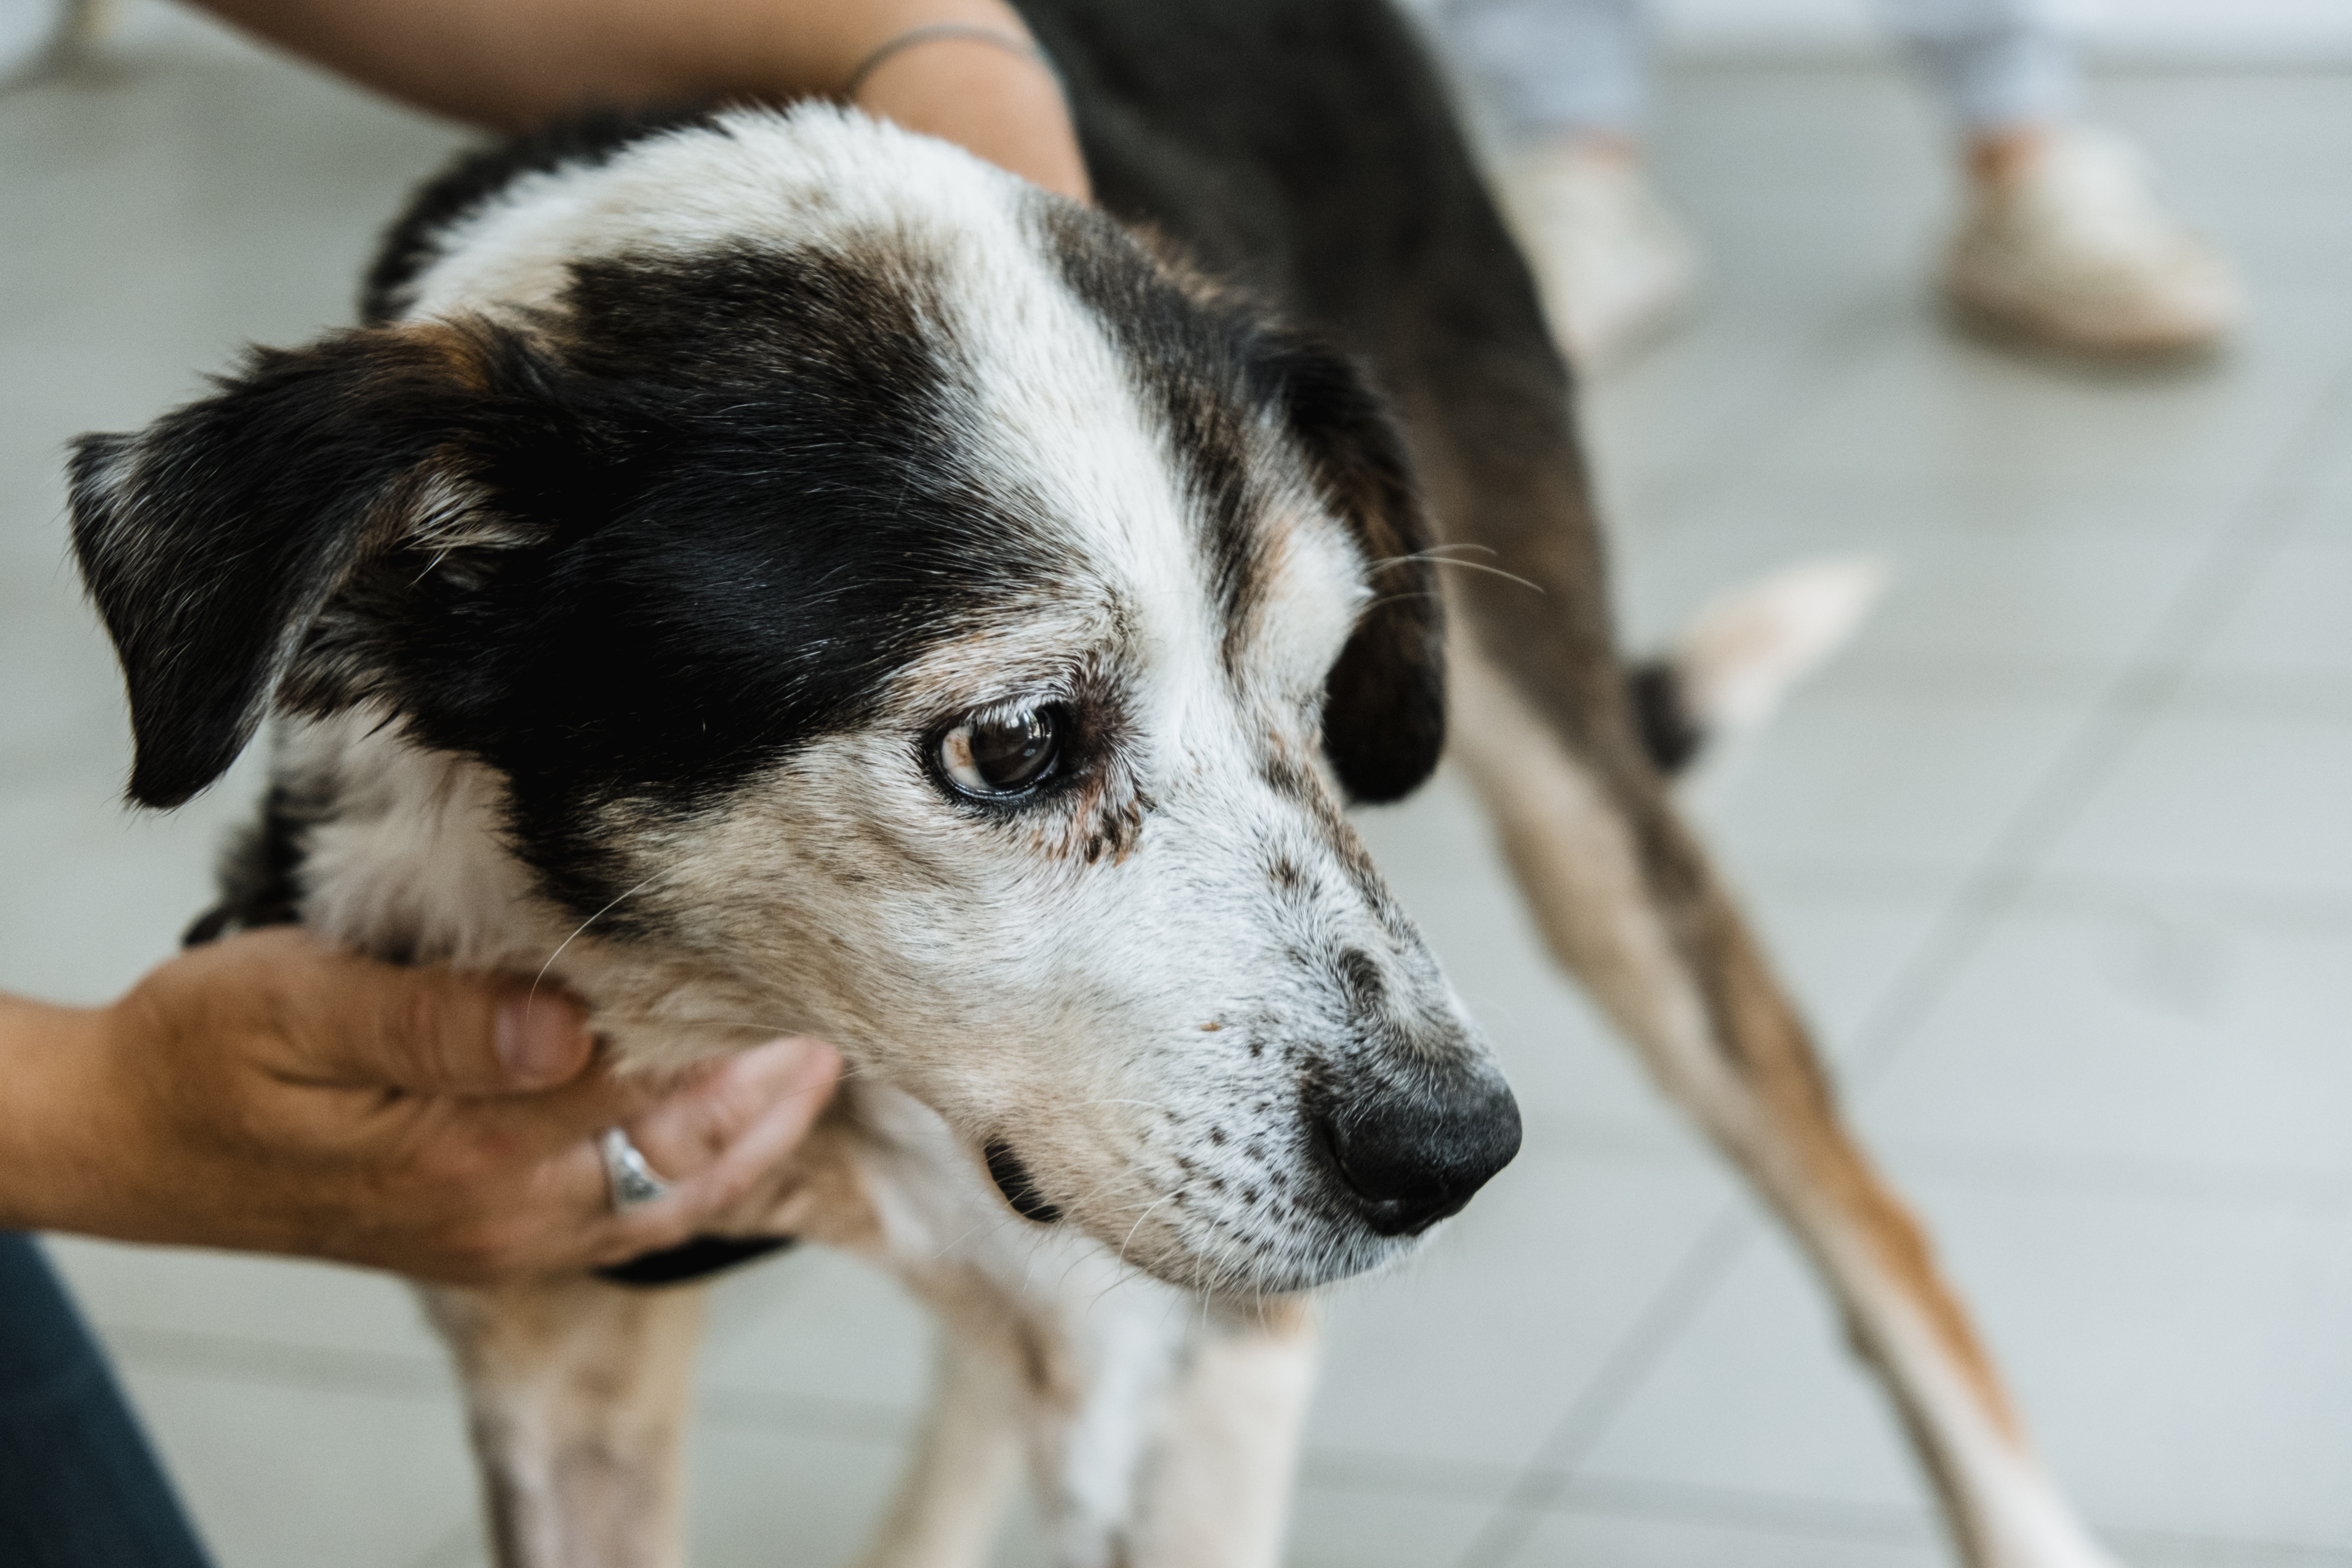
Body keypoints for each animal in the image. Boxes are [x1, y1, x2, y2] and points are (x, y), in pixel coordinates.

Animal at [78, 3, 2117, 1568]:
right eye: (1011, 745)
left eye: (1321, 693)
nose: (1458, 1159)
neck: (746, 1015)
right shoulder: (549, 1339)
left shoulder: (1207, 1363)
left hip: (1579, 804)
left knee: (1855, 1202)